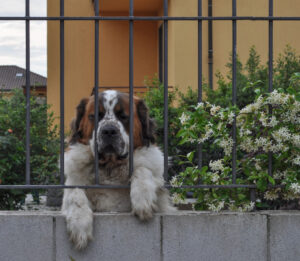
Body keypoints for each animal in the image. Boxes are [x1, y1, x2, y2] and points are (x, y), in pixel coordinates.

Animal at [62, 90, 176, 249]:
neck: (110, 167)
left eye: (123, 116)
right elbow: (75, 192)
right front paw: (79, 223)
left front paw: (143, 198)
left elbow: (142, 169)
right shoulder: (73, 182)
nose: (109, 130)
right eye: (95, 116)